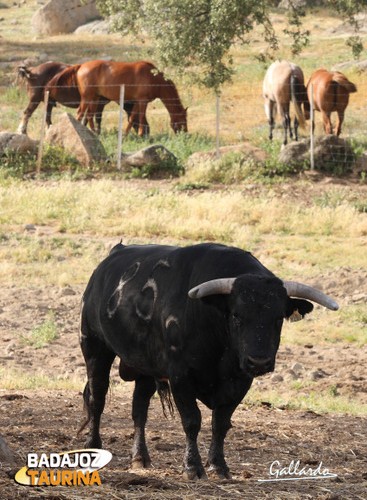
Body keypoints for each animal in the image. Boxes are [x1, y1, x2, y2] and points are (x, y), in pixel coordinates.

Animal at [57, 59, 190, 136]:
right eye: (183, 119)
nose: (185, 134)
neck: (153, 77)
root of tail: (81, 66)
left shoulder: (137, 102)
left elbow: (132, 118)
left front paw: (125, 134)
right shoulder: (143, 101)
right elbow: (141, 117)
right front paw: (141, 134)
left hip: (94, 98)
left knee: (89, 115)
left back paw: (94, 133)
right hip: (87, 97)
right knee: (80, 113)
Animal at [80, 244, 340, 478]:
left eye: (278, 318)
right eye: (236, 315)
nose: (259, 361)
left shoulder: (240, 381)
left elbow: (221, 424)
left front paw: (218, 466)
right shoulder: (180, 376)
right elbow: (192, 421)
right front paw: (192, 467)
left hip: (145, 367)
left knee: (139, 409)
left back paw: (140, 458)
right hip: (94, 347)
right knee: (97, 398)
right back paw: (93, 446)